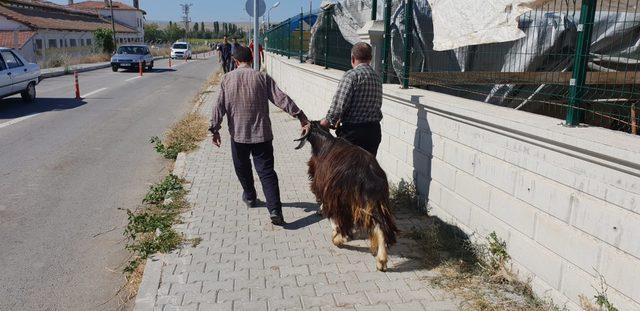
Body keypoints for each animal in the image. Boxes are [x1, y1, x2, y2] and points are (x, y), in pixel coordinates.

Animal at [296, 122, 398, 272]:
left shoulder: (327, 189)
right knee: (380, 224)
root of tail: (366, 174)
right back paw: (381, 260)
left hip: (344, 199)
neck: (323, 143)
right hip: (375, 200)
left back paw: (338, 239)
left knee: (341, 217)